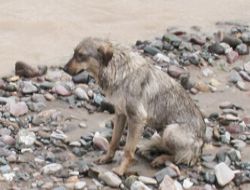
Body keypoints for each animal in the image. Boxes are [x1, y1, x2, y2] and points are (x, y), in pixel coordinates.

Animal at [63, 37, 206, 176]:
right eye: (74, 53)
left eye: (81, 55)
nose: (63, 69)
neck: (117, 69)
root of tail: (201, 145)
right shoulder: (120, 114)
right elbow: (114, 141)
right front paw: (107, 158)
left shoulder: (136, 118)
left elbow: (128, 150)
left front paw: (121, 170)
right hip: (164, 130)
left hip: (170, 131)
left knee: (181, 156)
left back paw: (161, 158)